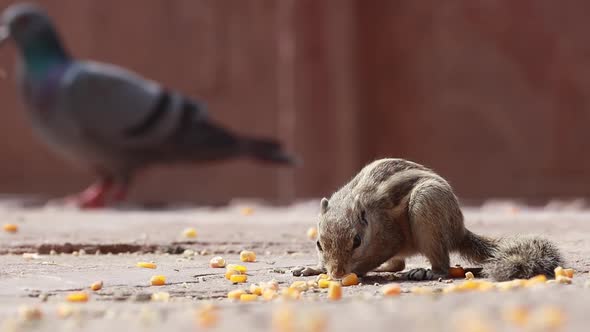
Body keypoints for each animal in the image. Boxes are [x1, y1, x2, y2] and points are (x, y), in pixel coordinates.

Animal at [294, 158, 568, 280]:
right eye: (319, 244)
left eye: (357, 241)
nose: (337, 273)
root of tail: (459, 229)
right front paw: (314, 268)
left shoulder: (390, 238)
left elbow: (374, 256)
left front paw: (355, 273)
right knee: (398, 265)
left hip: (426, 208)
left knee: (442, 263)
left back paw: (427, 272)